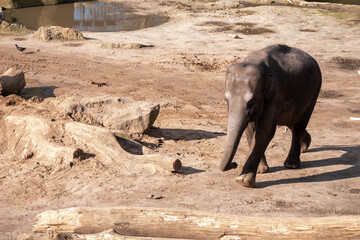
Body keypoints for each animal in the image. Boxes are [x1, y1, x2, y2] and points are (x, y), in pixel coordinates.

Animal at [219, 44, 324, 188]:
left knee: (300, 124)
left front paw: (243, 181)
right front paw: (261, 170)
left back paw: (291, 164)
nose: (234, 164)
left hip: (314, 92)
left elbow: (264, 131)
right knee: (293, 122)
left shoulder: (276, 95)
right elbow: (250, 130)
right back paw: (305, 145)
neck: (254, 62)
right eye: (226, 100)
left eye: (251, 102)